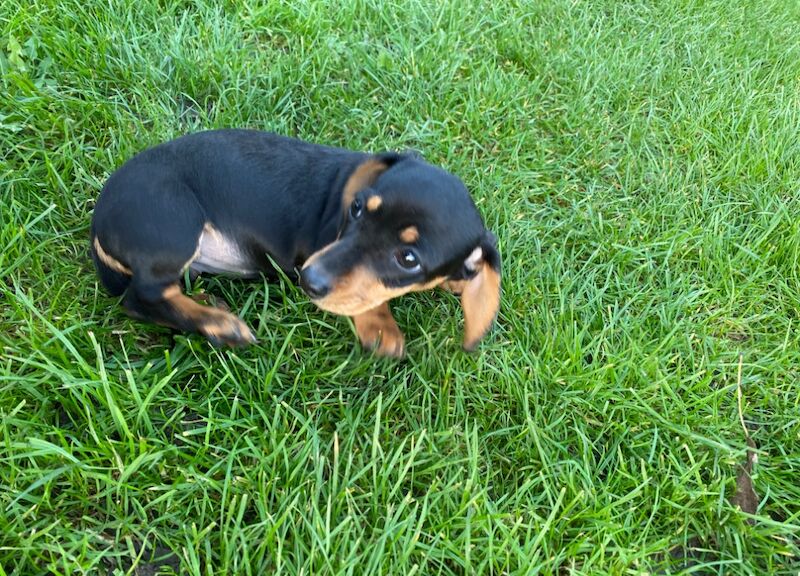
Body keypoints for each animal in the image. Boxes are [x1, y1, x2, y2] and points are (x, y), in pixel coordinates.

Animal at [89, 130, 500, 356]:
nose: (308, 281)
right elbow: (367, 298)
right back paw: (219, 324)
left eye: (409, 259)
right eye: (356, 208)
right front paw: (380, 327)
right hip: (174, 223)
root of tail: (99, 220)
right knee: (141, 297)